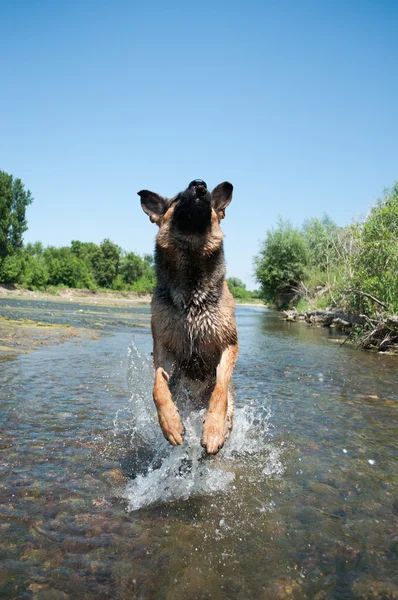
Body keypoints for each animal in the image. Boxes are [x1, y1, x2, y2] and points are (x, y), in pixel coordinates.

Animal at [138, 178, 238, 454]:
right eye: (175, 200)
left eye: (210, 201)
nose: (199, 184)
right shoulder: (163, 348)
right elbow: (158, 386)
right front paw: (170, 424)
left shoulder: (229, 344)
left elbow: (220, 389)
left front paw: (213, 430)